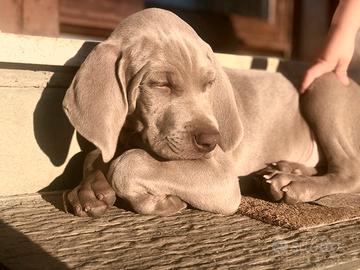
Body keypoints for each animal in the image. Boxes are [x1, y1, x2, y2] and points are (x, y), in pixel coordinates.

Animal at [63, 7, 360, 217]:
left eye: (209, 84)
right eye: (161, 85)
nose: (211, 141)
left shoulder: (221, 176)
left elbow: (127, 162)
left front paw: (158, 201)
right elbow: (94, 154)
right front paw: (88, 191)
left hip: (323, 84)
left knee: (349, 170)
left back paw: (294, 184)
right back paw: (287, 169)